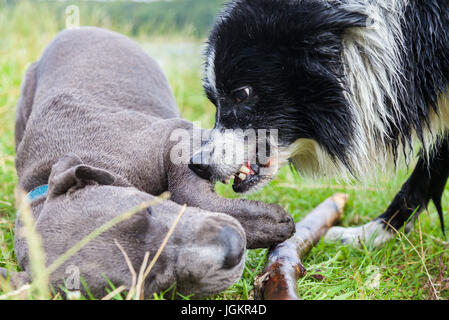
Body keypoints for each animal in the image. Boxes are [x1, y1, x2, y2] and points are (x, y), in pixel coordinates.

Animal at [2, 26, 294, 298]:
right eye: (152, 283)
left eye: (147, 210)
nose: (232, 246)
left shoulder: (175, 138)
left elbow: (187, 191)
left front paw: (265, 222)